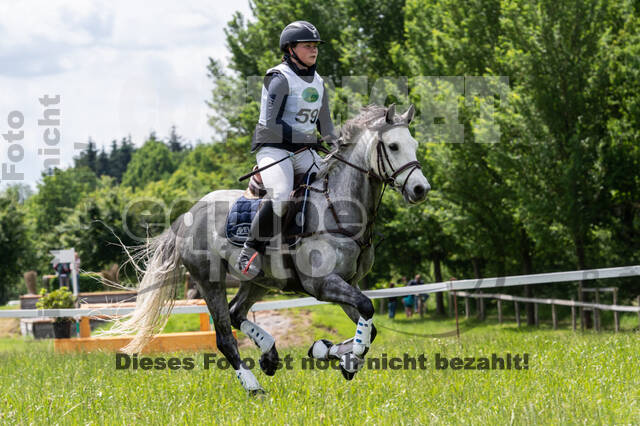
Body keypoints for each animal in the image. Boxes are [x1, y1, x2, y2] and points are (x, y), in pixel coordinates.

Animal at [109, 104, 430, 395]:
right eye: (393, 146)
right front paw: (344, 358)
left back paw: (269, 356)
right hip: (209, 281)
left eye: (414, 144)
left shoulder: (347, 282)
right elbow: (367, 308)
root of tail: (187, 215)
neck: (339, 207)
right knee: (224, 336)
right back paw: (253, 386)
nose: (420, 189)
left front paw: (328, 351)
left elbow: (370, 326)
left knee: (236, 313)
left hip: (257, 280)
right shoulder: (322, 284)